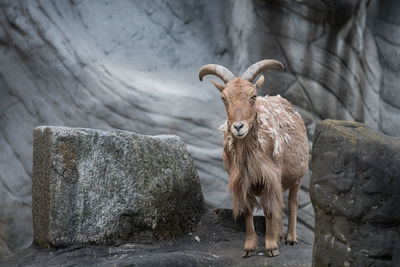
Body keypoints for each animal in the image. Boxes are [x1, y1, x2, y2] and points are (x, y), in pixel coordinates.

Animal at [200, 60, 310, 258]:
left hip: (298, 176)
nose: (238, 127)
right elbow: (248, 211)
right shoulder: (242, 181)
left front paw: (271, 247)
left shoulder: (270, 177)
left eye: (253, 96)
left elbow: (269, 210)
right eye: (223, 98)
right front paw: (249, 247)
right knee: (281, 205)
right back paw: (279, 235)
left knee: (292, 203)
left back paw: (290, 238)